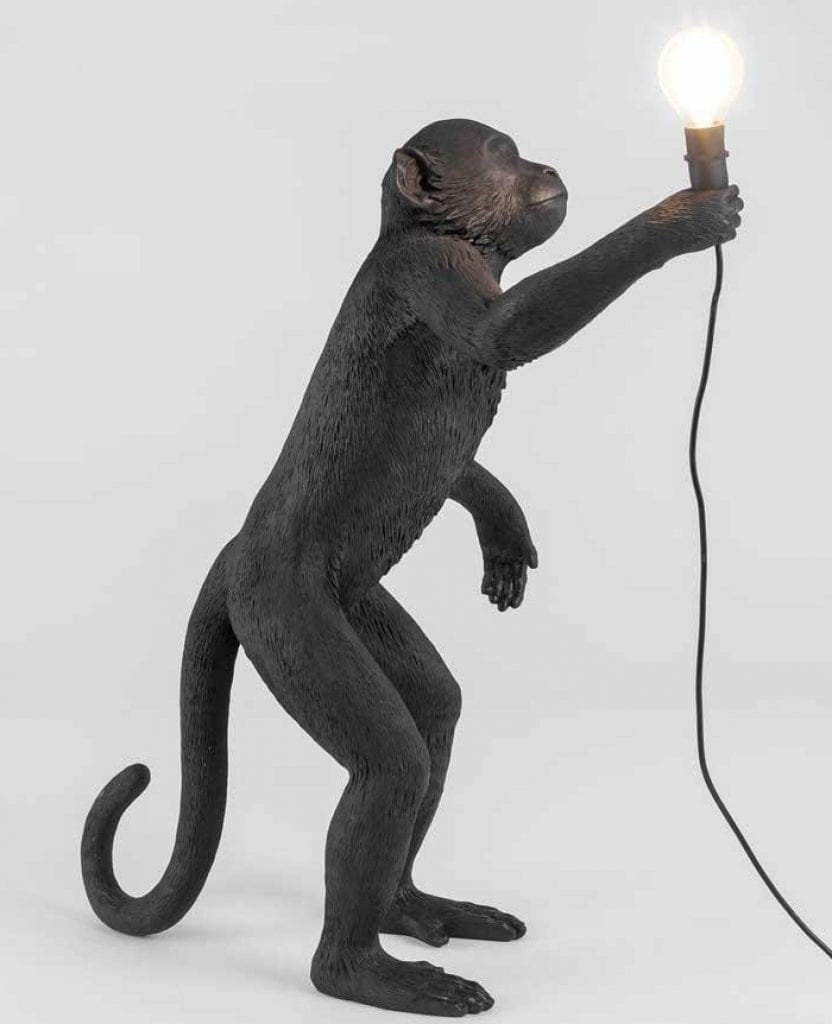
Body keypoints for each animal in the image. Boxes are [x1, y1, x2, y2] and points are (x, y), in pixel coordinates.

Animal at [82, 118, 743, 1016]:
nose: (544, 165)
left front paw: (504, 531)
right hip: (285, 612)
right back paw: (369, 970)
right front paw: (682, 217)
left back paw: (415, 906)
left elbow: (467, 463)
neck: (450, 239)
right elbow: (506, 331)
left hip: (361, 602)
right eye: (500, 152)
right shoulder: (426, 270)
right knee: (392, 764)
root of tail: (234, 551)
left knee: (435, 710)